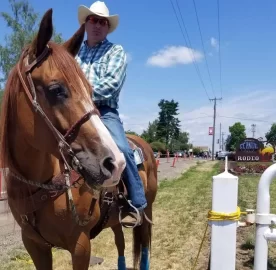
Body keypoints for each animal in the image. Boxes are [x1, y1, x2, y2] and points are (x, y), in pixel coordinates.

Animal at [0, 7, 157, 270]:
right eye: (56, 90)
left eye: (90, 90)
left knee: (144, 246)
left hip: (148, 212)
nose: (114, 163)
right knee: (121, 244)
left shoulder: (80, 245)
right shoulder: (34, 245)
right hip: (115, 221)